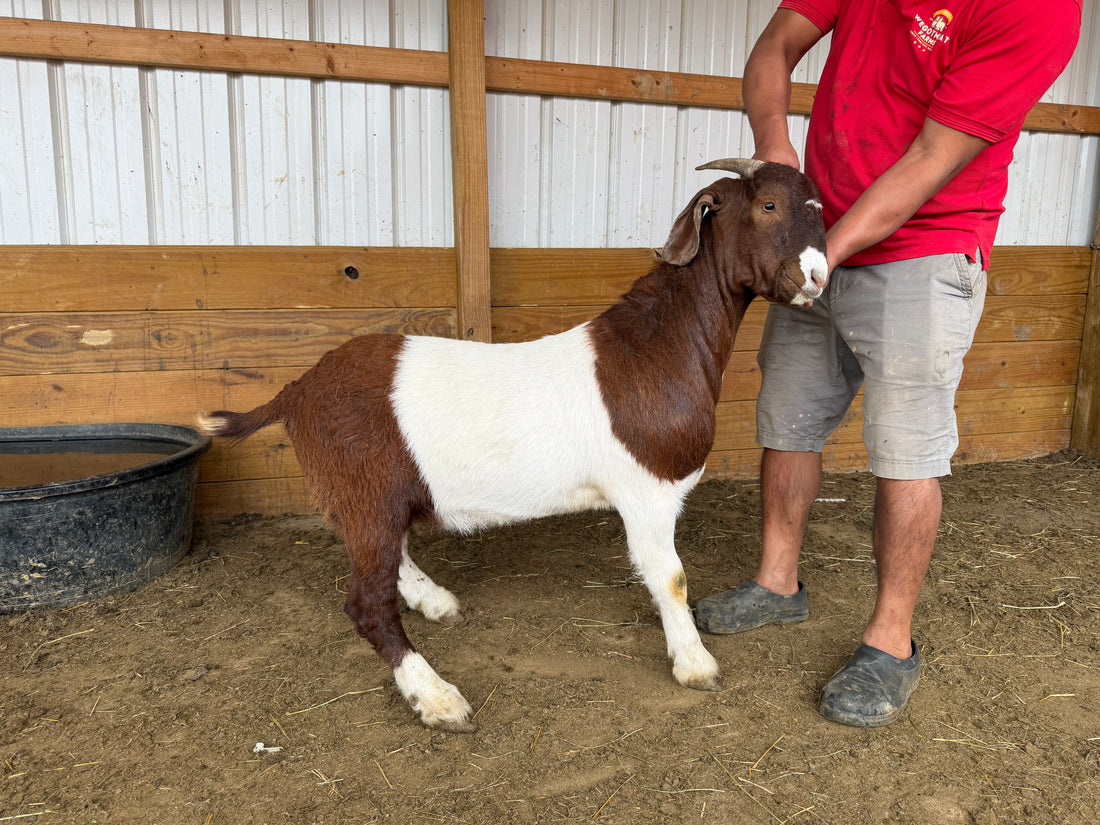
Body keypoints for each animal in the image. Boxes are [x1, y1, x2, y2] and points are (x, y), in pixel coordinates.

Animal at [197, 159, 828, 732]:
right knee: (366, 604)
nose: (819, 276)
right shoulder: (646, 490)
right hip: (364, 489)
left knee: (388, 556)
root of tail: (297, 390)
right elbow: (668, 575)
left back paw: (435, 601)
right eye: (767, 205)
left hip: (374, 497)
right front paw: (695, 664)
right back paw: (438, 698)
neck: (657, 346)